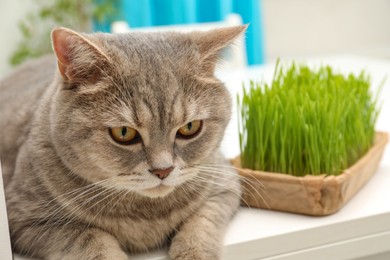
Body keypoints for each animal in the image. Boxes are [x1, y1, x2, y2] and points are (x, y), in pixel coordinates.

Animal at [0, 24, 245, 260]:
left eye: (190, 127)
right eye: (124, 133)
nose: (163, 170)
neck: (146, 215)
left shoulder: (224, 186)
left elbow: (200, 225)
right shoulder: (29, 220)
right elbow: (89, 238)